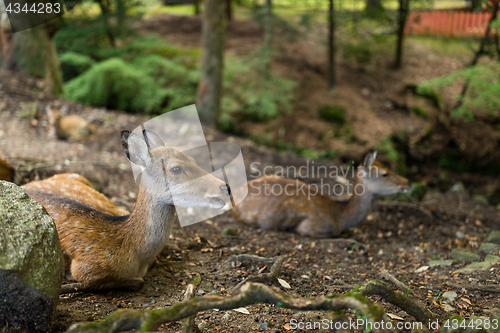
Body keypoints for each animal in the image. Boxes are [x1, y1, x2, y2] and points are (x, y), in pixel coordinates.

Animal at [21, 129, 229, 290]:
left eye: (193, 159)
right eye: (176, 169)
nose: (224, 187)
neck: (134, 254)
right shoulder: (85, 267)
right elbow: (137, 282)